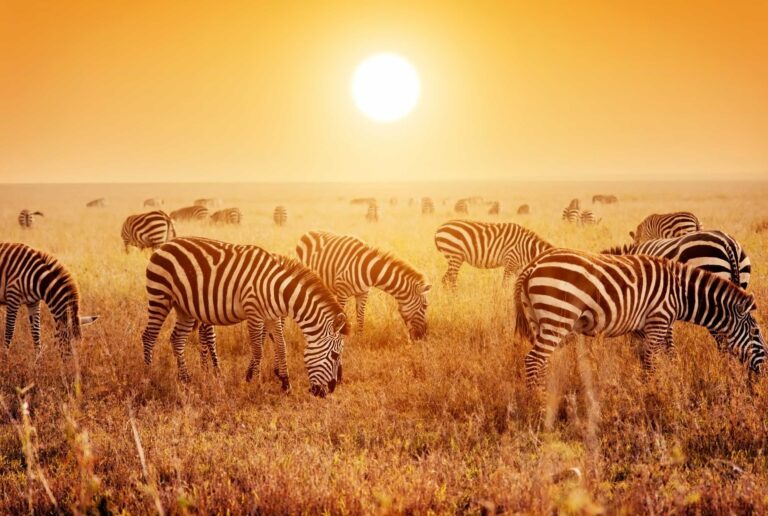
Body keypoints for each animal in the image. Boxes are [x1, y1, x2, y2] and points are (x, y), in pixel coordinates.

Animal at [141, 236, 348, 398]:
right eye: (335, 355)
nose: (329, 391)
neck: (277, 289)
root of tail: (166, 244)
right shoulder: (253, 313)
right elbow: (257, 350)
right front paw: (255, 384)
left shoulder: (272, 316)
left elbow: (281, 346)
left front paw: (285, 384)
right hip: (160, 296)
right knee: (149, 336)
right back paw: (149, 377)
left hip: (185, 307)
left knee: (177, 339)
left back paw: (185, 380)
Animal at [296, 232, 432, 340]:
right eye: (425, 306)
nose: (424, 336)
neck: (369, 271)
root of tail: (308, 232)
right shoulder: (342, 292)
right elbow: (342, 316)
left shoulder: (363, 293)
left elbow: (360, 316)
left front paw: (360, 337)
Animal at [512, 250, 764, 388]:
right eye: (756, 334)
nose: (763, 373)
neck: (680, 293)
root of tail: (533, 265)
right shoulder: (659, 319)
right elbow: (653, 360)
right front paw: (654, 394)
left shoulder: (644, 326)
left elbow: (650, 358)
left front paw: (654, 386)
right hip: (558, 316)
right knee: (533, 360)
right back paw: (537, 402)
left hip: (539, 320)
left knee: (541, 361)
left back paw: (545, 394)